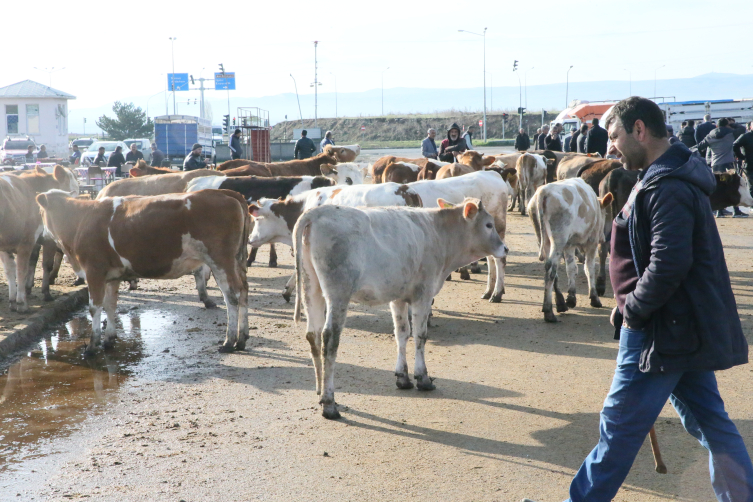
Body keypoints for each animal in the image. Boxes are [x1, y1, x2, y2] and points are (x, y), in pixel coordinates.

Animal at [0, 167, 79, 312]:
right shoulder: (30, 241)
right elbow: (26, 269)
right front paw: (25, 301)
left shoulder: (6, 246)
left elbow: (12, 270)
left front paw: (15, 300)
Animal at [37, 188, 250, 352]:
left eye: (41, 213)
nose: (38, 238)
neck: (81, 221)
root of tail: (224, 192)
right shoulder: (111, 276)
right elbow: (110, 305)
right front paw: (109, 340)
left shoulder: (94, 271)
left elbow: (94, 307)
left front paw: (91, 346)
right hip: (237, 262)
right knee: (244, 291)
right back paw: (242, 339)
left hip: (221, 261)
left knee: (232, 296)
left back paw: (229, 342)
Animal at [292, 198, 506, 418]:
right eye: (488, 225)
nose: (505, 249)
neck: (439, 233)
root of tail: (317, 212)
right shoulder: (423, 294)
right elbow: (420, 335)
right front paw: (423, 378)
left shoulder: (398, 297)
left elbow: (402, 333)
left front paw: (403, 377)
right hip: (338, 292)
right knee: (329, 339)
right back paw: (329, 403)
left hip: (311, 286)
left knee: (313, 334)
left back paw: (320, 391)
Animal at [524, 178, 612, 324]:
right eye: (605, 215)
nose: (603, 237)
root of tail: (543, 191)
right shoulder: (592, 242)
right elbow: (589, 268)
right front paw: (594, 298)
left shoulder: (570, 245)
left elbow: (571, 268)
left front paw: (571, 297)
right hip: (559, 237)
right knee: (551, 267)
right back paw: (548, 311)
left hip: (543, 237)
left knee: (550, 267)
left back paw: (560, 303)